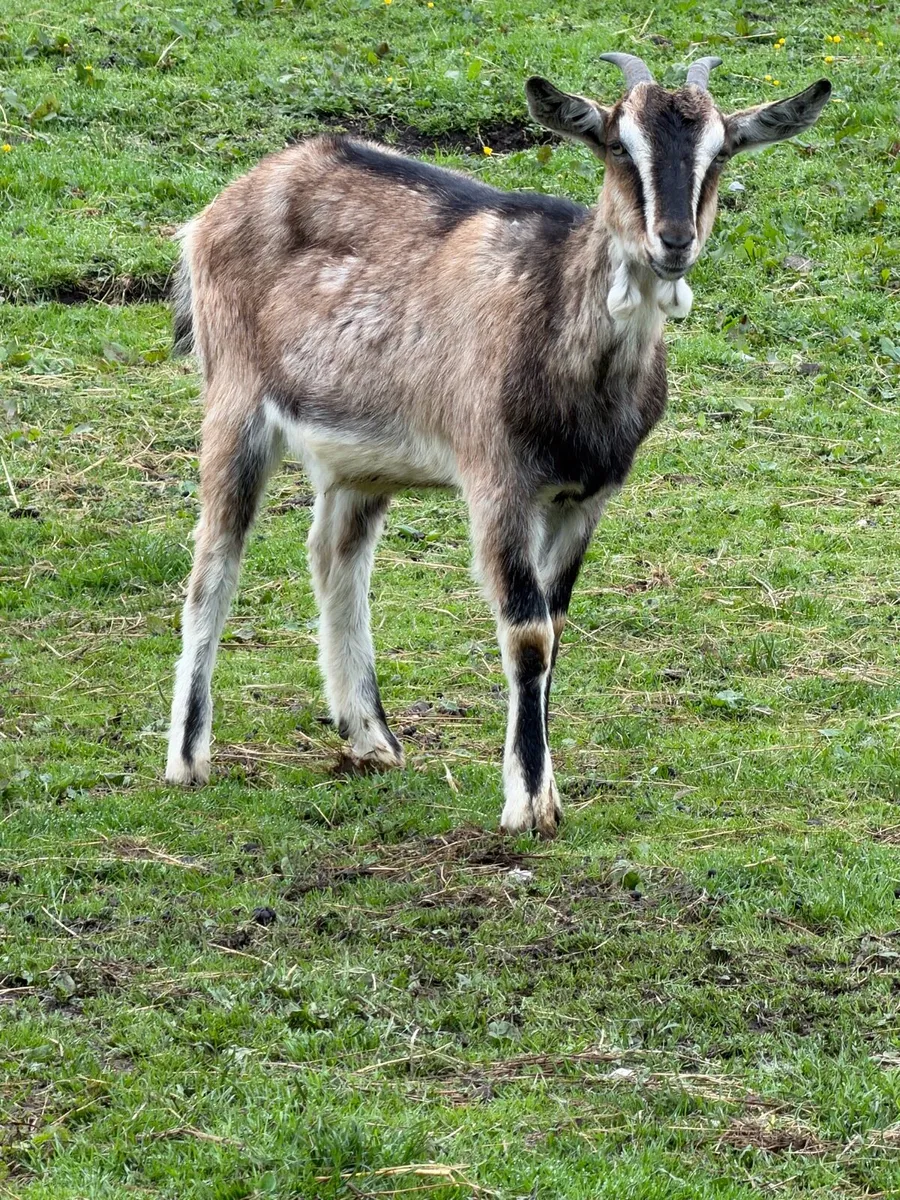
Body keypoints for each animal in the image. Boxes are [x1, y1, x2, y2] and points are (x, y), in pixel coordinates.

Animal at [164, 54, 830, 837]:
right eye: (616, 145)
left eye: (721, 152)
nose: (673, 241)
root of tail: (213, 214)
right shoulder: (498, 482)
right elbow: (528, 633)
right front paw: (529, 804)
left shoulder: (585, 498)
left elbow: (557, 625)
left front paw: (538, 785)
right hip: (235, 402)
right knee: (214, 565)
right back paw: (188, 758)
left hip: (361, 455)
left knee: (335, 556)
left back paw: (371, 737)